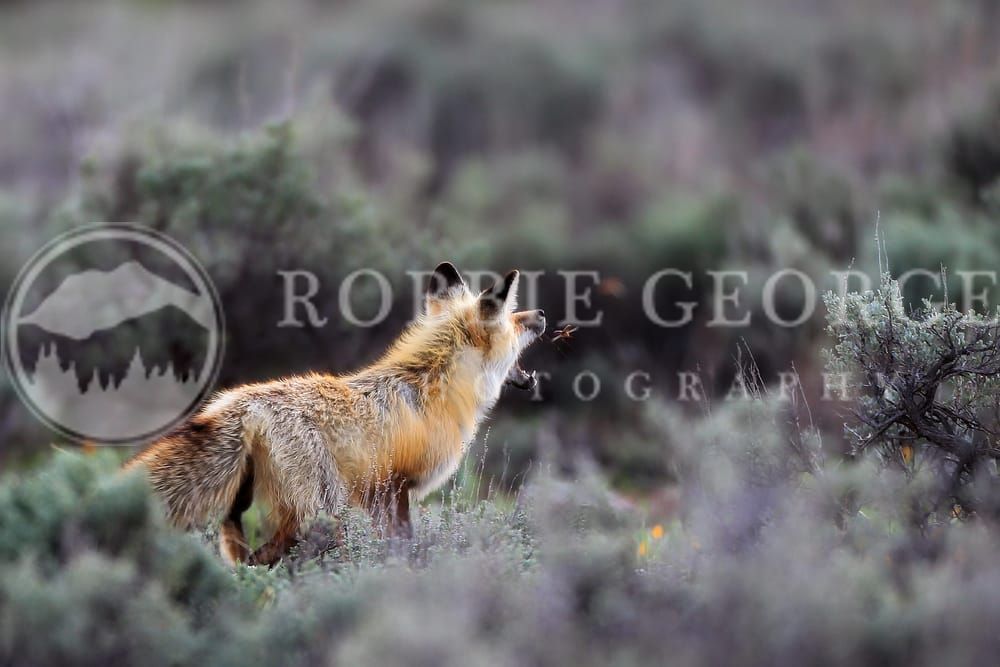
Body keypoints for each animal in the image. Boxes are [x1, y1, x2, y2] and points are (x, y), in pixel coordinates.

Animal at [124, 262, 545, 566]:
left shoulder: (381, 492)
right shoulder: (394, 486)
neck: (430, 388)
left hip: (242, 509)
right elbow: (401, 545)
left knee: (242, 559)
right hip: (323, 513)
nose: (540, 313)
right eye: (513, 319)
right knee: (273, 560)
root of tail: (241, 404)